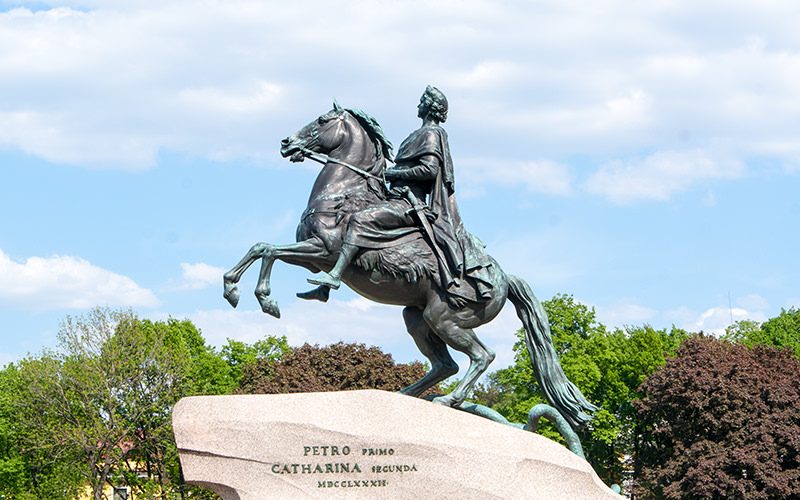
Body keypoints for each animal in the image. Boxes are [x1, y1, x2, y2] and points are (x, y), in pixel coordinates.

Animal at [222, 102, 596, 430]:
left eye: (322, 120)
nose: (286, 143)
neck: (345, 193)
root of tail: (504, 279)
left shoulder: (323, 251)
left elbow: (270, 251)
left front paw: (267, 298)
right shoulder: (312, 253)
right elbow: (261, 247)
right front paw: (231, 287)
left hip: (445, 319)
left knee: (482, 356)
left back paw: (448, 399)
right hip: (417, 317)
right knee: (445, 364)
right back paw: (406, 394)